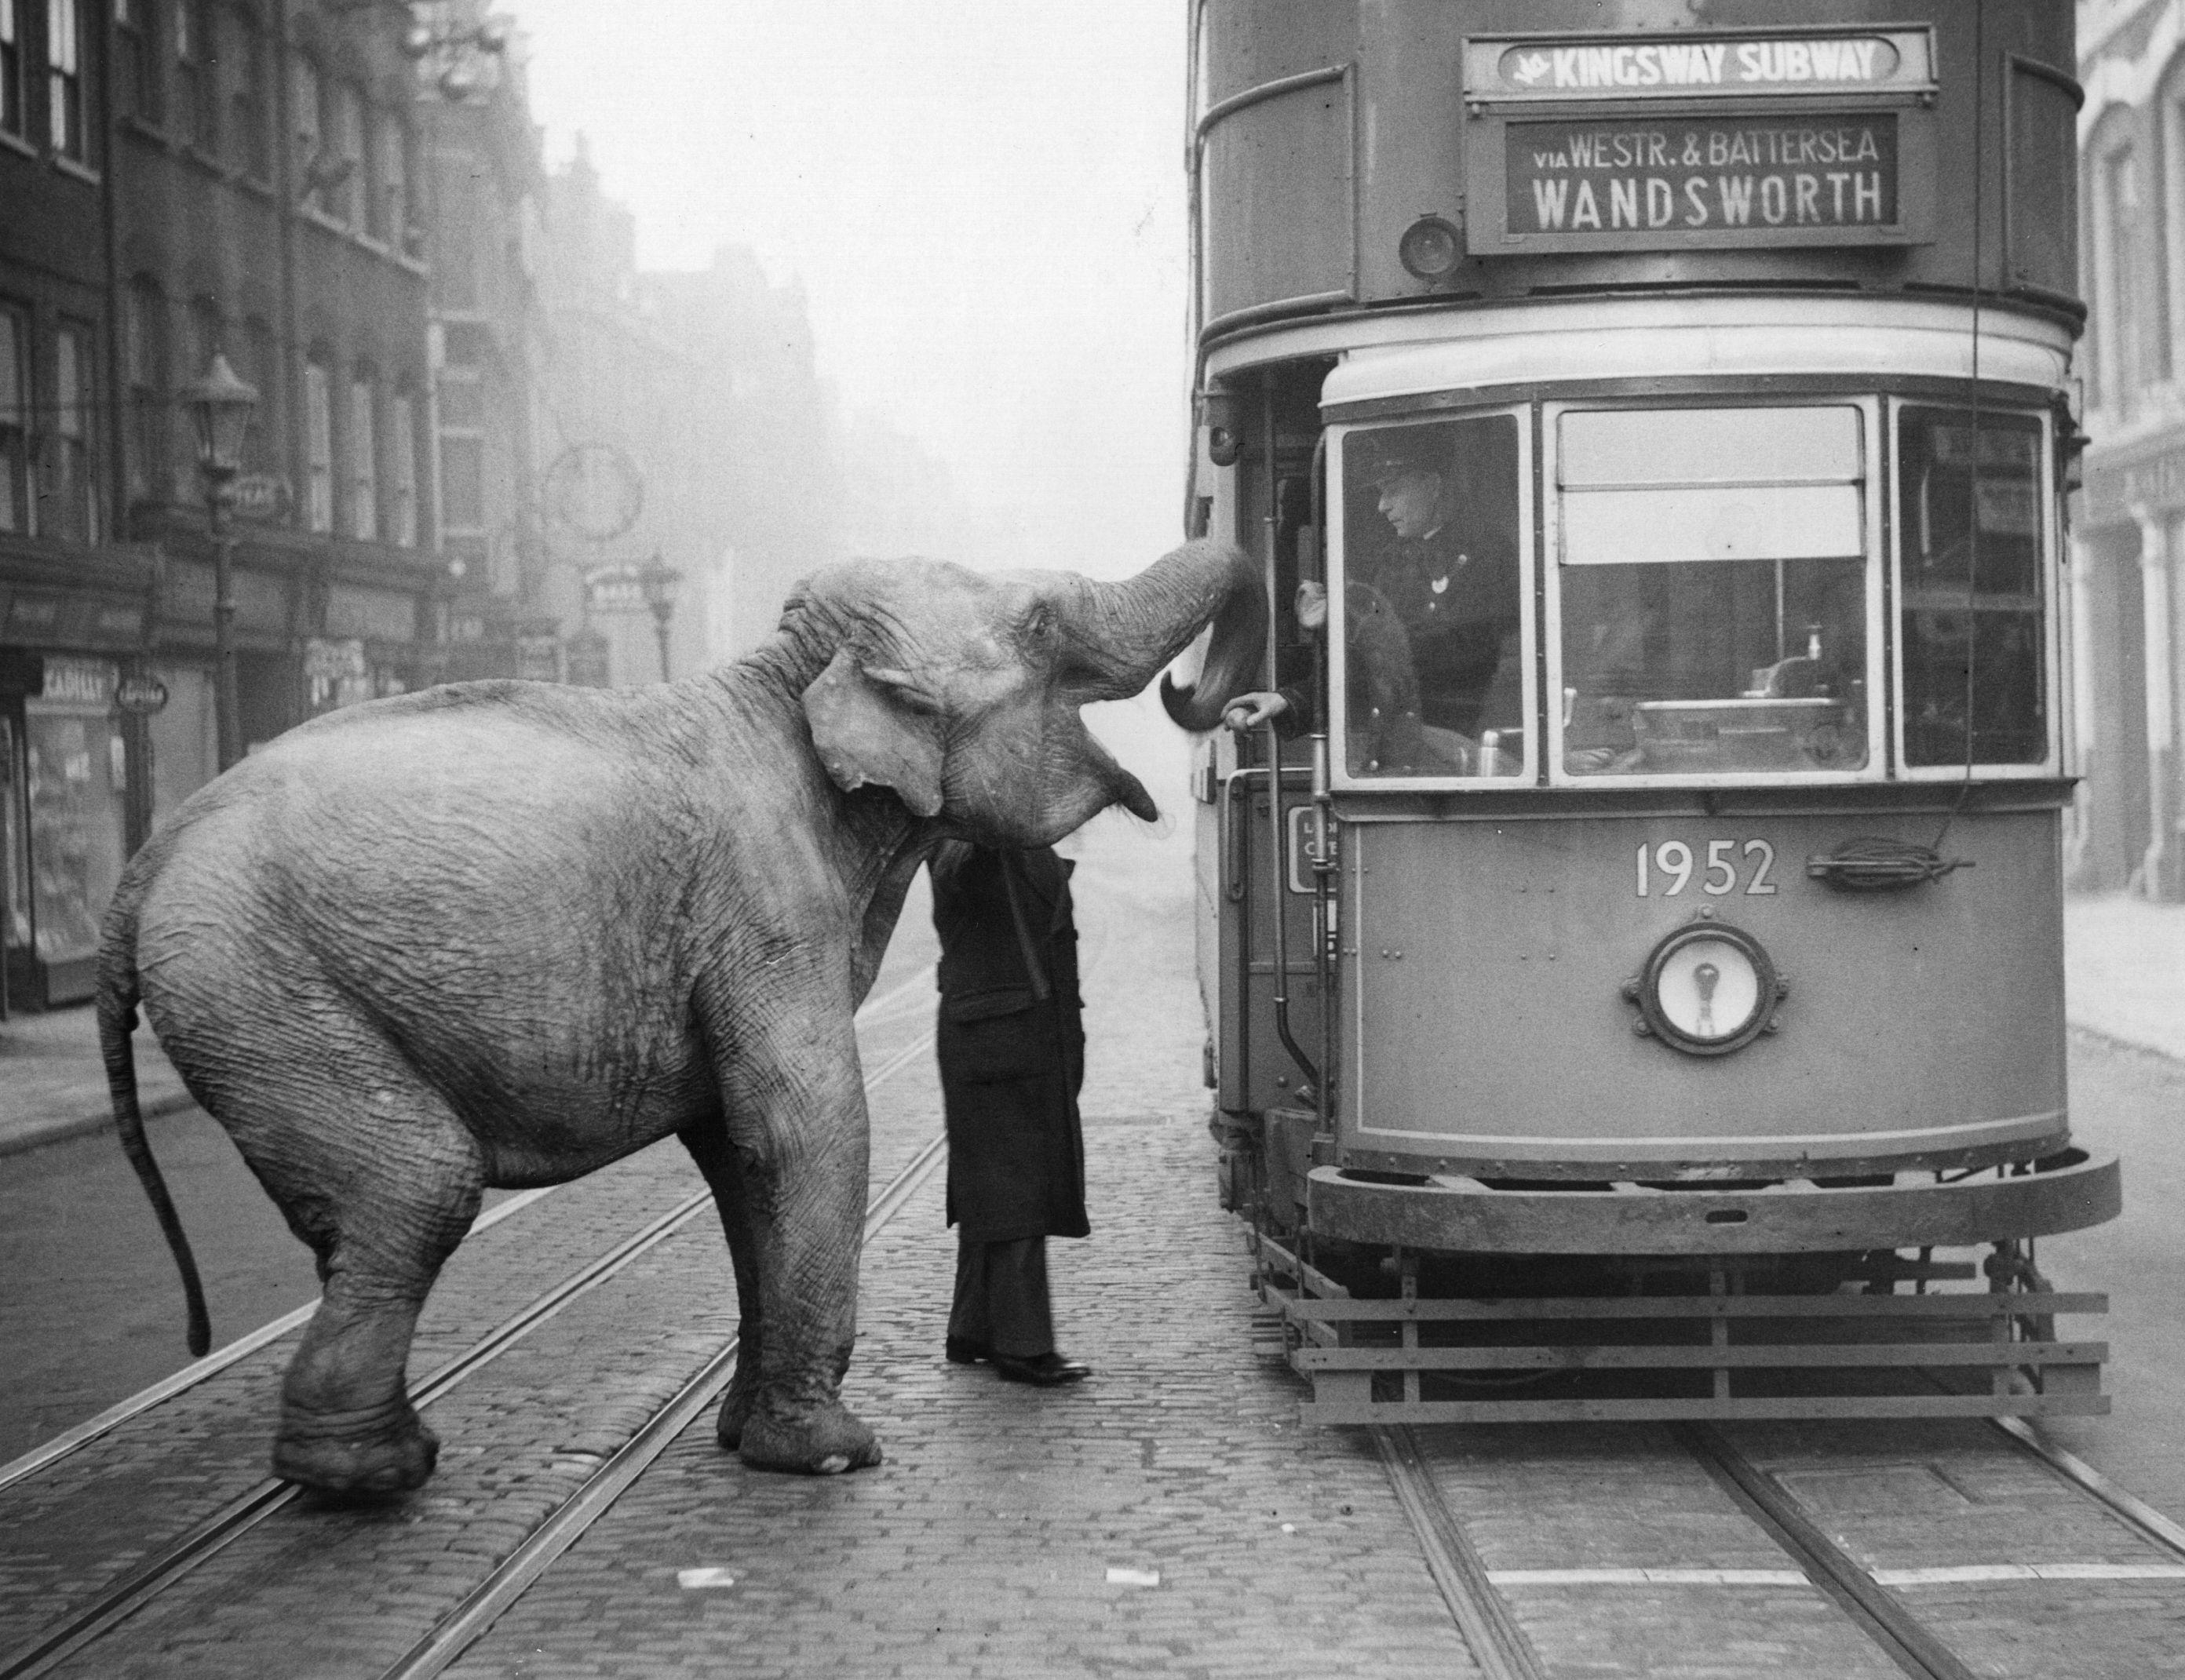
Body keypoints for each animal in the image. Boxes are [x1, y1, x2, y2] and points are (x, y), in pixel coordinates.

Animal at [102, 537, 1267, 1494]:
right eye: (1038, 626)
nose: (1203, 696)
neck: (782, 676)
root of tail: (144, 866)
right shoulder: (760, 904)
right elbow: (807, 1127)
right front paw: (830, 1455)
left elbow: (737, 1148)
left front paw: (744, 1436)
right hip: (260, 987)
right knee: (419, 1183)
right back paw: (368, 1472)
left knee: (348, 1213)